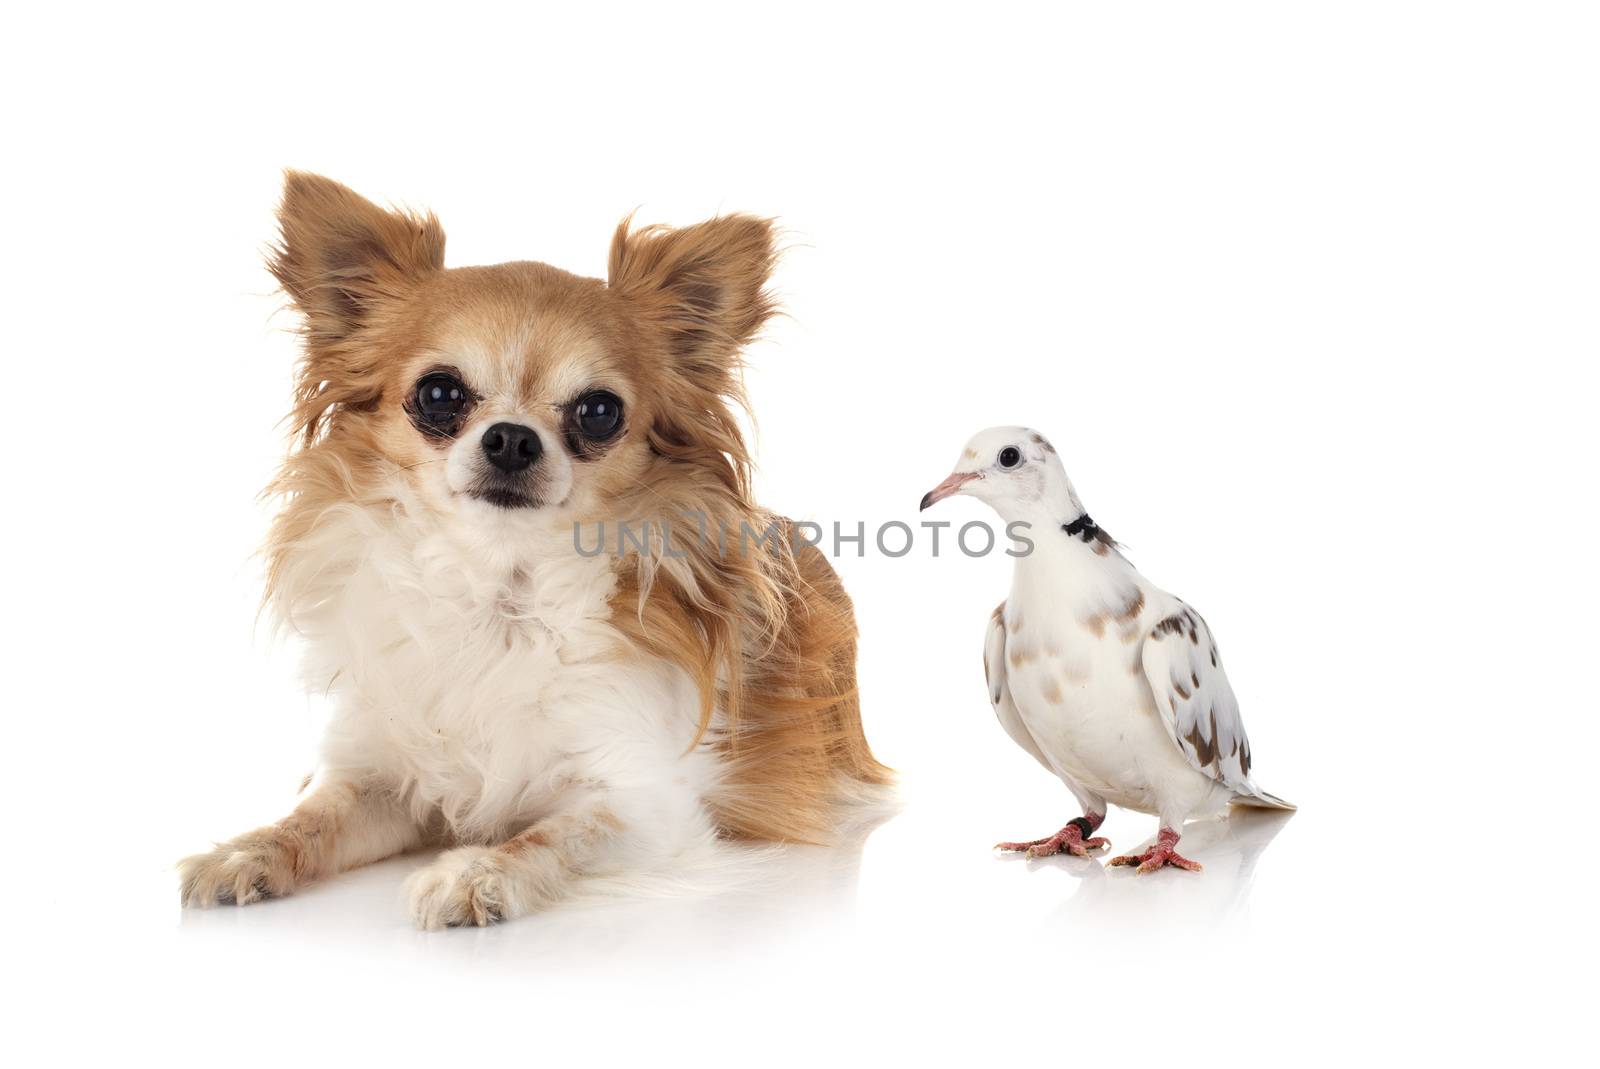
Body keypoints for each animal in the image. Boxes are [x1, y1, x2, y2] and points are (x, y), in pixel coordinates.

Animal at [184, 173, 902, 928]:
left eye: (599, 411)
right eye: (438, 394)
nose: (511, 438)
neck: (499, 593)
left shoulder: (649, 806)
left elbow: (553, 834)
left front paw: (476, 872)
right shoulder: (384, 774)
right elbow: (312, 816)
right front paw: (245, 851)